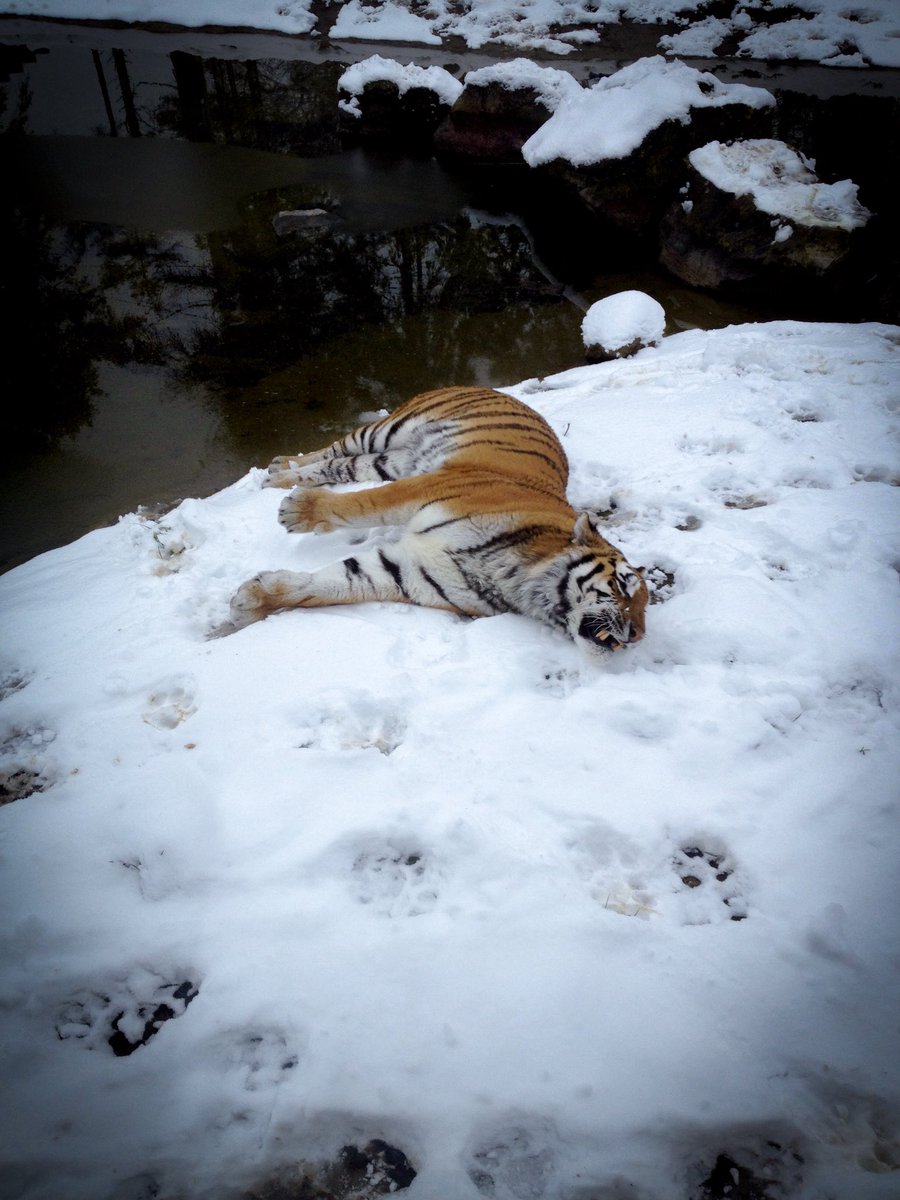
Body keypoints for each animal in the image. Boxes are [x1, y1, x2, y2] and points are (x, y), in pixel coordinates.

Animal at [228, 386, 648, 659]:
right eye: (624, 586)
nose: (637, 637)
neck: (520, 579)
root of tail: (490, 386)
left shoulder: (408, 572)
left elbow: (331, 585)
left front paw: (253, 599)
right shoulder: (425, 486)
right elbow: (361, 504)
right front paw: (298, 510)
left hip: (388, 460)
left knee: (342, 465)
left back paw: (281, 473)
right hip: (384, 432)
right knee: (331, 449)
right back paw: (280, 473)